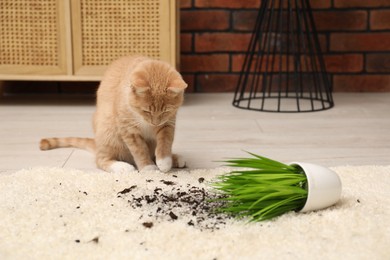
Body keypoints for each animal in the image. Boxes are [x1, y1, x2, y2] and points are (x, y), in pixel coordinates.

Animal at [40, 55, 187, 173]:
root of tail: (97, 143)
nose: (155, 123)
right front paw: (148, 167)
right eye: (146, 110)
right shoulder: (128, 129)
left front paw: (165, 161)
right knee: (101, 160)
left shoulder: (168, 123)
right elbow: (139, 150)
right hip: (108, 131)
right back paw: (122, 166)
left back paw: (175, 158)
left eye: (166, 111)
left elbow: (165, 142)